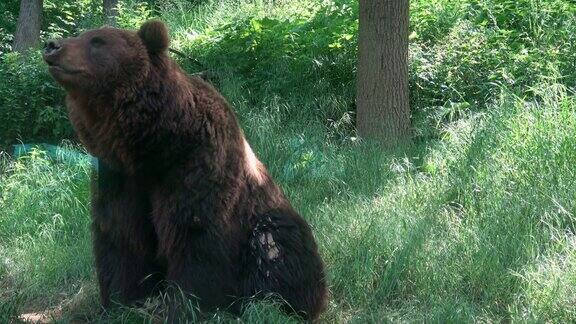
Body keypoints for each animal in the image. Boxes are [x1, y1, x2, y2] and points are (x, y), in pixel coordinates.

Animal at [42, 20, 326, 322]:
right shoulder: (118, 175)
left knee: (274, 245)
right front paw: (122, 301)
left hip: (272, 221)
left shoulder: (196, 162)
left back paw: (271, 304)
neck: (153, 146)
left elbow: (194, 234)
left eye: (97, 41)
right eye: (82, 34)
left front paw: (185, 306)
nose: (52, 45)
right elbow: (121, 234)